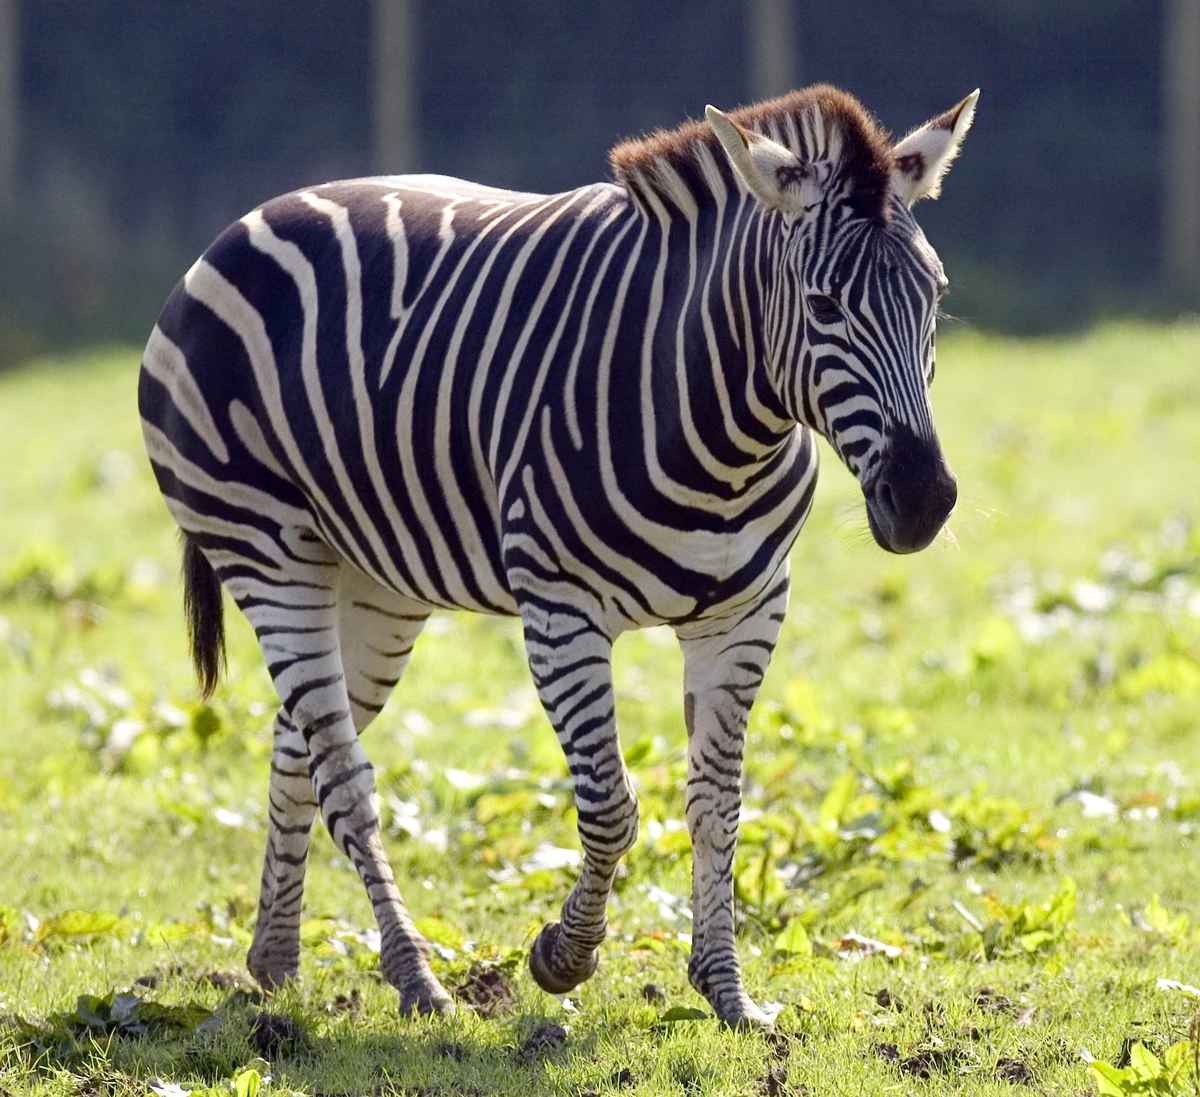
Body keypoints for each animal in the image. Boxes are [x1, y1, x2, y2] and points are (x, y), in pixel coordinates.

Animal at [139, 83, 977, 1029]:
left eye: (935, 296)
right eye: (825, 304)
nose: (923, 498)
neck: (722, 427)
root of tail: (248, 221)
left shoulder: (746, 612)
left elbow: (717, 802)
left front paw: (727, 991)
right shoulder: (560, 613)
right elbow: (613, 805)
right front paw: (561, 957)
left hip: (371, 582)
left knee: (300, 742)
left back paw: (276, 954)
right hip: (266, 552)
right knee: (346, 775)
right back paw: (416, 978)